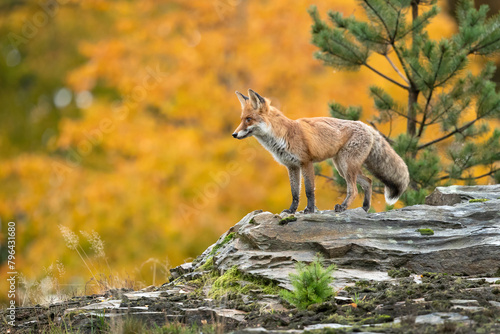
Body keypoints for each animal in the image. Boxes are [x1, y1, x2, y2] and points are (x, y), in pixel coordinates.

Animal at [232, 88, 408, 214]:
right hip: (342, 167)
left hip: (346, 166)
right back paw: (365, 208)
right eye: (241, 120)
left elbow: (309, 191)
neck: (283, 135)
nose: (234, 134)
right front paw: (291, 211)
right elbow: (295, 193)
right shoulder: (292, 166)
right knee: (368, 181)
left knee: (354, 190)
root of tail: (364, 125)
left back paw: (343, 207)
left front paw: (309, 210)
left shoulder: (306, 163)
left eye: (248, 120)